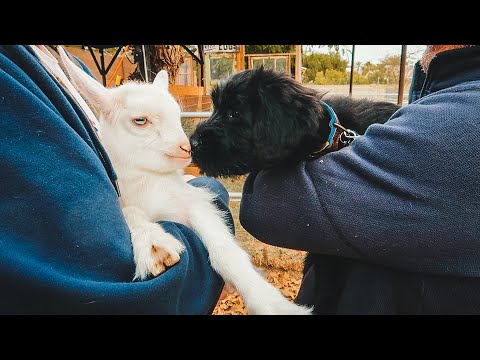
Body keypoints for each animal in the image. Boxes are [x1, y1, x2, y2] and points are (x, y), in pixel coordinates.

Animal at [58, 47, 312, 316]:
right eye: (140, 120)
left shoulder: (191, 200)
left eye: (177, 115)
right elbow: (130, 213)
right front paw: (153, 245)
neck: (147, 180)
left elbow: (224, 251)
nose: (186, 147)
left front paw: (274, 304)